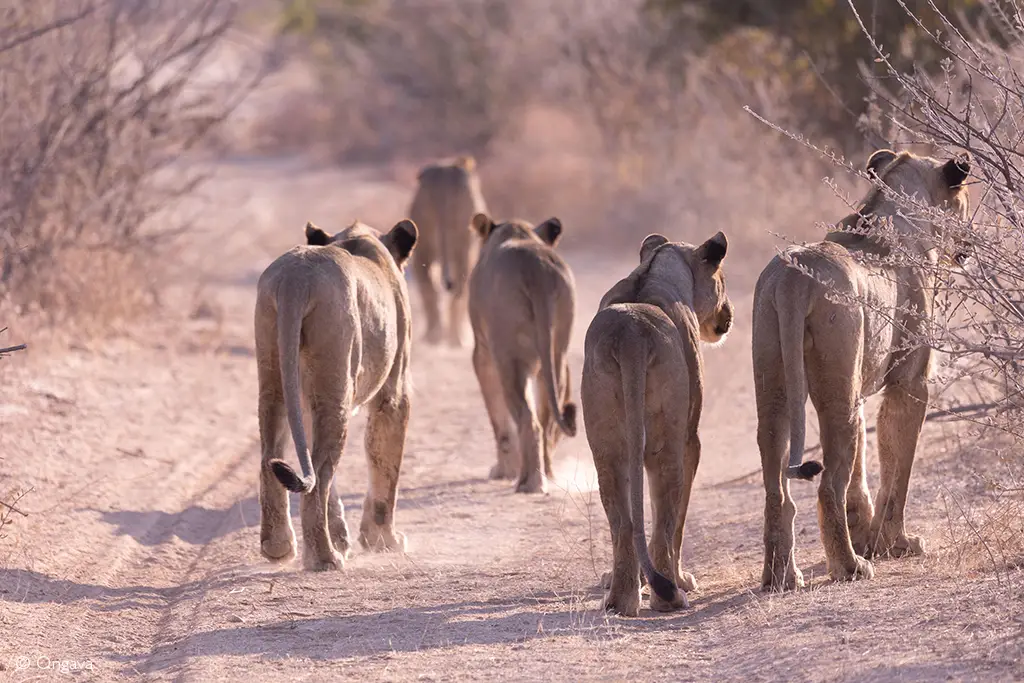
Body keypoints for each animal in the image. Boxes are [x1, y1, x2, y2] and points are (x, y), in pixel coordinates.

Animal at [255, 218, 418, 571]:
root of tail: (296, 278)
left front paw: (344, 538)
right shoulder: (394, 390)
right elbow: (385, 462)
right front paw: (383, 540)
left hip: (275, 379)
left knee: (274, 458)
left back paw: (279, 548)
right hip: (336, 387)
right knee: (320, 475)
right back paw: (325, 558)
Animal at [467, 213, 577, 494]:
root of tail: (536, 268)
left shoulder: (483, 354)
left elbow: (499, 420)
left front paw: (503, 471)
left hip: (511, 360)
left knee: (529, 421)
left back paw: (529, 483)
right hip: (556, 355)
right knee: (547, 418)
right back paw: (547, 476)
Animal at [582, 232, 733, 616]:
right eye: (722, 280)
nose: (728, 314)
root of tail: (630, 334)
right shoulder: (691, 439)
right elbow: (676, 521)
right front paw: (681, 579)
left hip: (607, 447)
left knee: (622, 521)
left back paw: (620, 599)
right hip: (669, 441)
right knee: (666, 517)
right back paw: (670, 595)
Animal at [754, 149, 971, 591]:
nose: (971, 243)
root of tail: (792, 277)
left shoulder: (860, 388)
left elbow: (864, 470)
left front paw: (865, 534)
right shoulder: (910, 382)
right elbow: (897, 467)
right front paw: (895, 544)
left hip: (777, 390)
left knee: (776, 489)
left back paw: (782, 577)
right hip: (838, 399)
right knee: (826, 486)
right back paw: (850, 567)